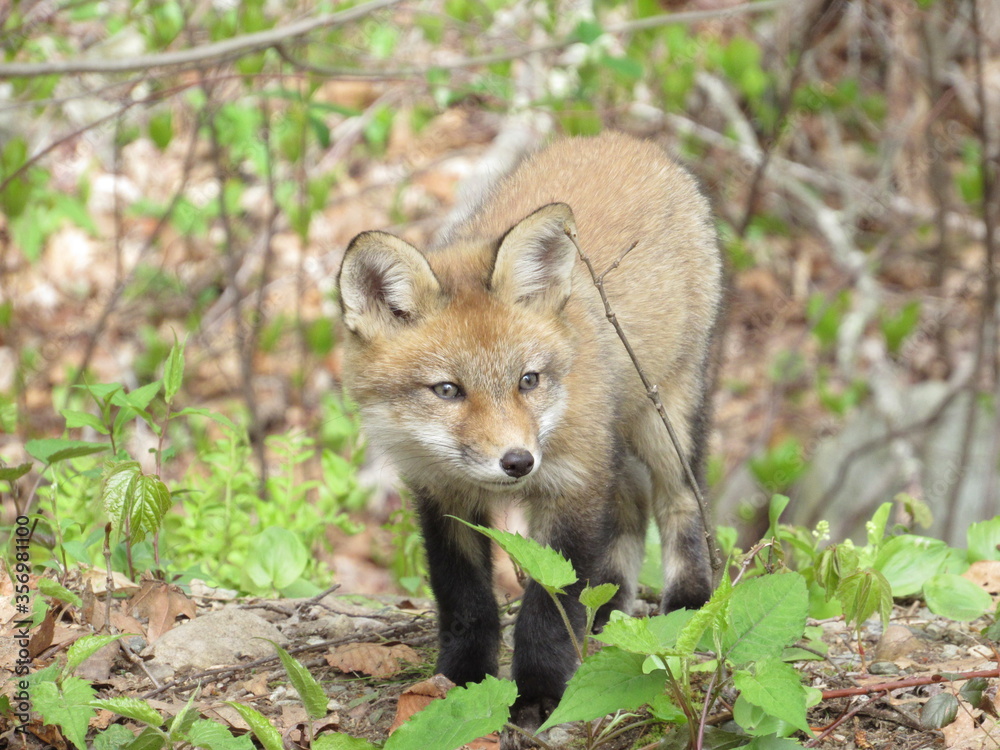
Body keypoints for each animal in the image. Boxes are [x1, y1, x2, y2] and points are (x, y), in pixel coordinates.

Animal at [336, 131, 722, 732]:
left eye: (527, 380)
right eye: (447, 390)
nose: (518, 462)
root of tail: (625, 139)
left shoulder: (574, 484)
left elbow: (549, 606)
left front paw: (539, 692)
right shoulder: (442, 495)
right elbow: (466, 602)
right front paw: (462, 681)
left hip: (664, 416)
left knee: (681, 501)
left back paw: (685, 606)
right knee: (630, 511)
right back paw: (609, 614)